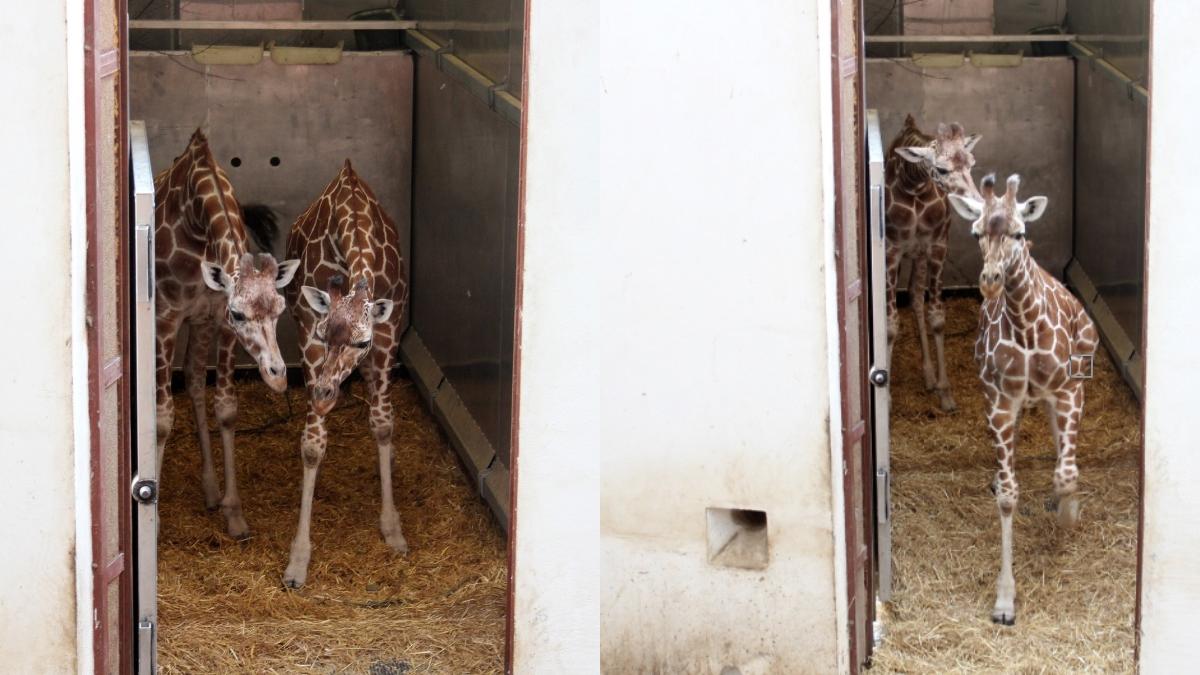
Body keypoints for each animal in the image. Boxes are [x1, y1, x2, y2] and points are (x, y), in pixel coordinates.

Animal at [154, 127, 300, 535]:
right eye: (239, 313)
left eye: (280, 309)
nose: (279, 376)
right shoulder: (166, 318)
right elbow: (162, 418)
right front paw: (152, 521)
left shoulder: (215, 320)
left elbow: (226, 409)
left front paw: (234, 511)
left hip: (199, 323)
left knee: (192, 378)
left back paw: (209, 489)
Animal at [282, 159, 410, 586]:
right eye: (324, 333)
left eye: (362, 341)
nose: (324, 395)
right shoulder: (309, 335)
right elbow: (312, 444)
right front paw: (298, 559)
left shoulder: (387, 335)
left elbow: (383, 423)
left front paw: (393, 528)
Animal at [883, 114, 984, 410]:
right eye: (940, 169)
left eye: (972, 163)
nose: (977, 206)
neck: (914, 184)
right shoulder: (891, 251)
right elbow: (890, 324)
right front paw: (887, 398)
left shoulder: (937, 246)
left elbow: (937, 317)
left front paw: (945, 390)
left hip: (919, 255)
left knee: (916, 297)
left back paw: (928, 375)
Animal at [945, 170, 1099, 624]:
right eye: (976, 231)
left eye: (1020, 231)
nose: (991, 281)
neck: (1026, 328)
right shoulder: (999, 405)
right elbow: (1010, 497)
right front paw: (1004, 601)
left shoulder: (1067, 391)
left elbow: (1066, 475)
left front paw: (1068, 517)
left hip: (1068, 392)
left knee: (1062, 450)